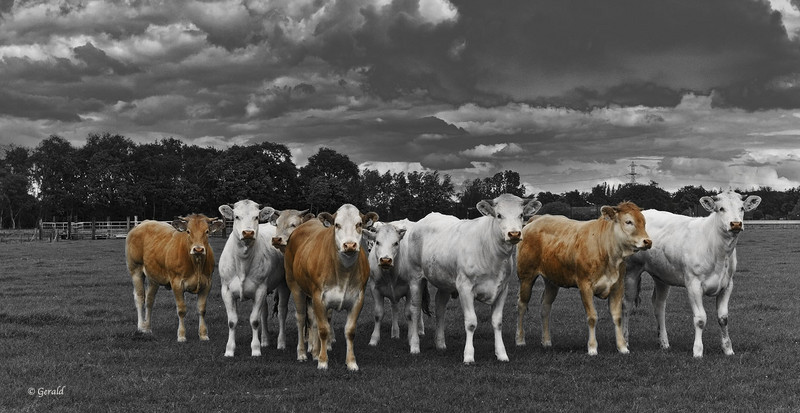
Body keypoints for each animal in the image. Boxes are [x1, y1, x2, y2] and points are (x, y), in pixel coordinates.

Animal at [217, 200, 290, 357]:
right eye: (236, 216)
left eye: (256, 217)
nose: (248, 232)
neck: (242, 261)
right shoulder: (226, 290)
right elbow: (232, 321)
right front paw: (229, 350)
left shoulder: (260, 289)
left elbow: (255, 320)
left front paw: (255, 349)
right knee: (265, 312)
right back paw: (265, 340)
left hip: (284, 283)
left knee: (282, 312)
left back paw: (281, 343)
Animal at [283, 204, 378, 370]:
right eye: (337, 224)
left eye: (359, 224)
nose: (349, 245)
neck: (343, 272)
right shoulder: (319, 298)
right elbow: (323, 330)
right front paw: (322, 361)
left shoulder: (358, 299)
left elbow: (350, 331)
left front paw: (351, 362)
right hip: (295, 286)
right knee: (301, 319)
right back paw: (302, 353)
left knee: (313, 320)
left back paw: (314, 351)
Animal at [399, 194, 541, 364]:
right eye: (499, 215)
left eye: (521, 215)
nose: (514, 234)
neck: (492, 254)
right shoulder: (465, 287)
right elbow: (471, 323)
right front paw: (468, 355)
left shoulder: (502, 289)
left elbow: (498, 322)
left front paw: (501, 354)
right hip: (415, 278)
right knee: (414, 310)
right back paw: (414, 346)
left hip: (444, 282)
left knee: (440, 309)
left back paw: (440, 344)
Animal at [516, 202, 651, 355]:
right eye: (628, 222)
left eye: (644, 222)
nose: (647, 241)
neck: (607, 251)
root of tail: (536, 219)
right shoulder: (585, 285)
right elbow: (592, 317)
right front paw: (592, 348)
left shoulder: (617, 287)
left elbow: (617, 317)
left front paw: (622, 347)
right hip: (526, 276)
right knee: (522, 305)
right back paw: (520, 340)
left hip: (551, 281)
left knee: (545, 307)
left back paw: (546, 341)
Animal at [622, 190, 761, 357]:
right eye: (721, 208)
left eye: (742, 208)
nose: (735, 224)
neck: (719, 252)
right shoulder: (693, 284)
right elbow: (700, 319)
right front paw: (698, 350)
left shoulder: (728, 284)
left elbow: (723, 318)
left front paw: (728, 349)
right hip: (631, 271)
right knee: (627, 305)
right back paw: (625, 343)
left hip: (661, 275)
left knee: (659, 305)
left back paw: (664, 343)